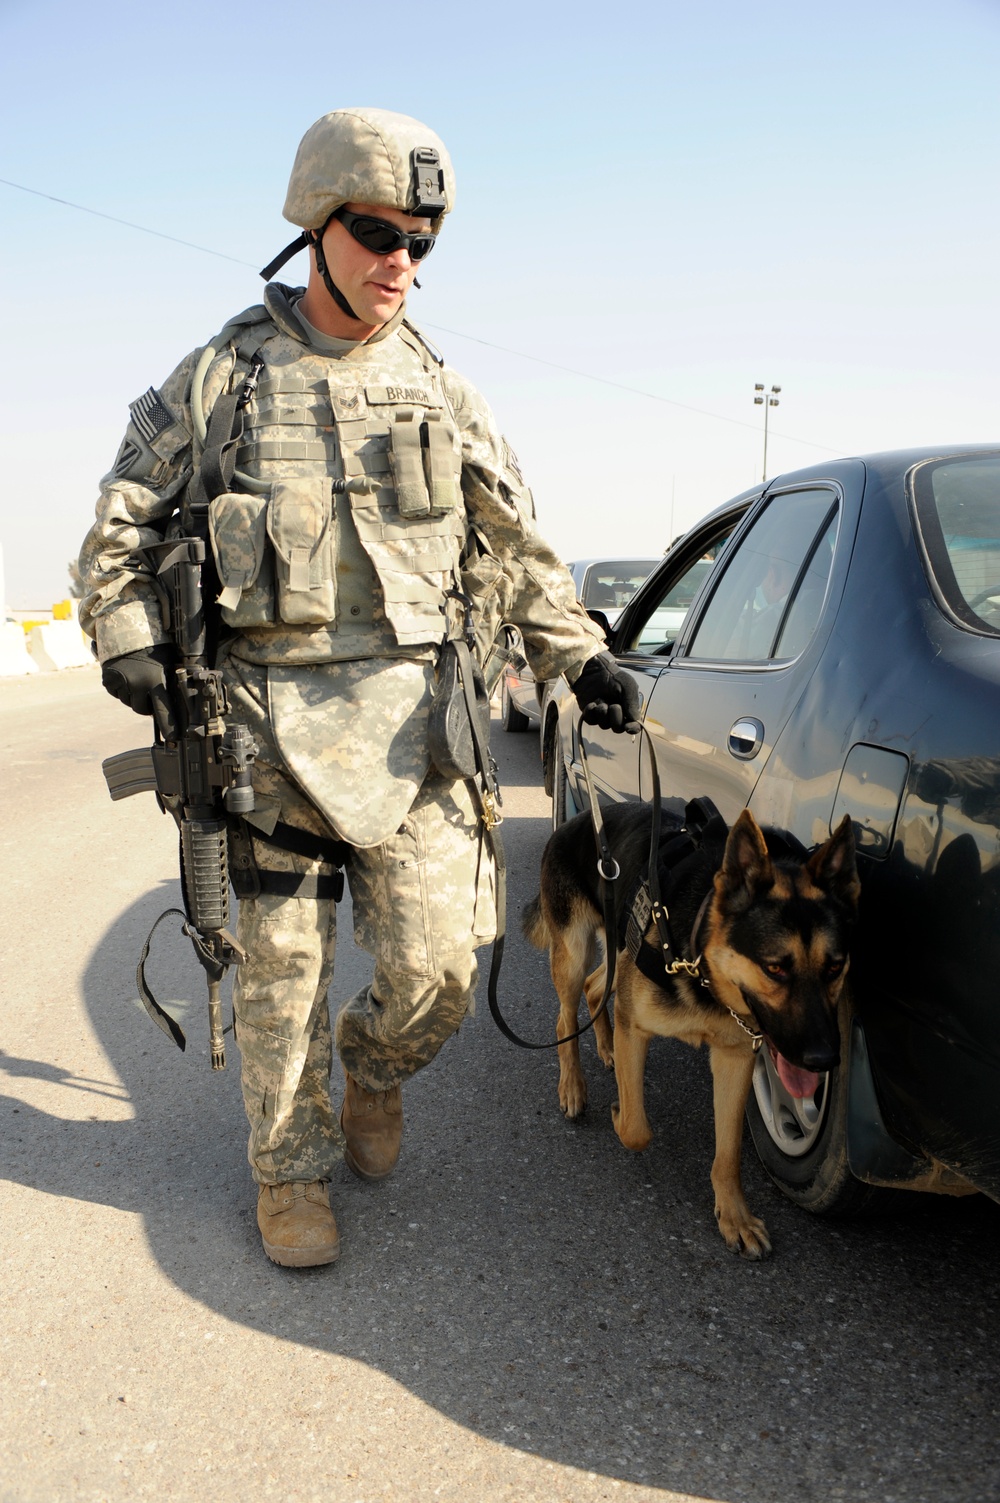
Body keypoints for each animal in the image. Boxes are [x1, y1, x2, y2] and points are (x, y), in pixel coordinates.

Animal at [523, 799, 860, 1256]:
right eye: (775, 969)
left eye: (835, 968)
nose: (824, 1060)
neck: (700, 961)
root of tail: (576, 819)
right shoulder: (636, 1027)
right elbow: (636, 1128)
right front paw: (618, 1111)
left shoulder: (735, 1058)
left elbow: (729, 1154)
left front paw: (734, 1216)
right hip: (573, 955)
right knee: (565, 1017)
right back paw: (573, 1087)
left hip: (616, 953)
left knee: (597, 989)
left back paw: (607, 1048)